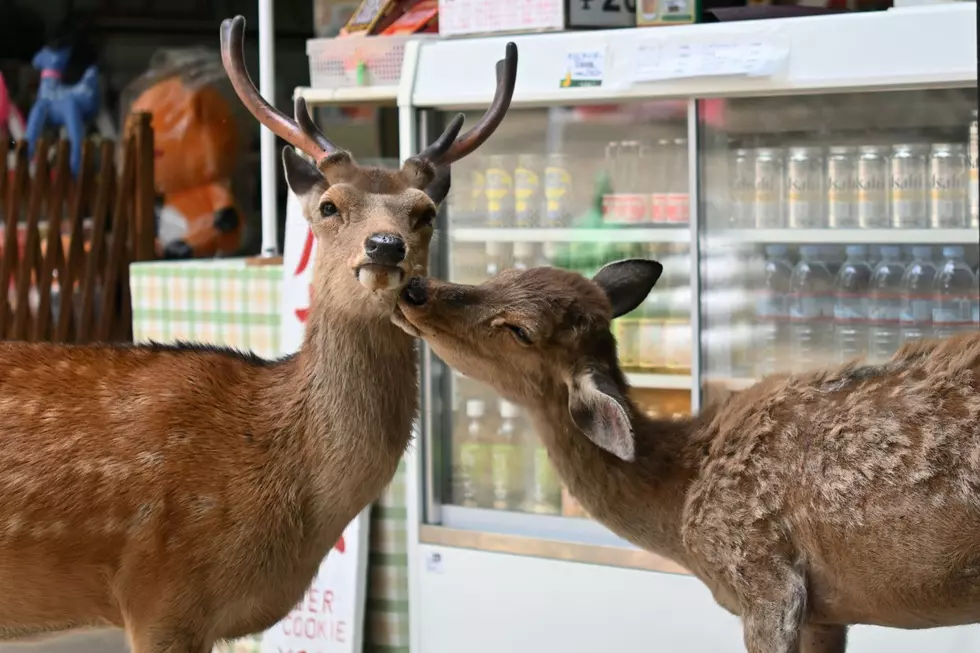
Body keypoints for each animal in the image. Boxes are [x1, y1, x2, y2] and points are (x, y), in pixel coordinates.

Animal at [392, 260, 980, 652]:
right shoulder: (826, 612)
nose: (414, 286)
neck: (680, 503)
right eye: (501, 274)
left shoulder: (764, 576)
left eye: (519, 330)